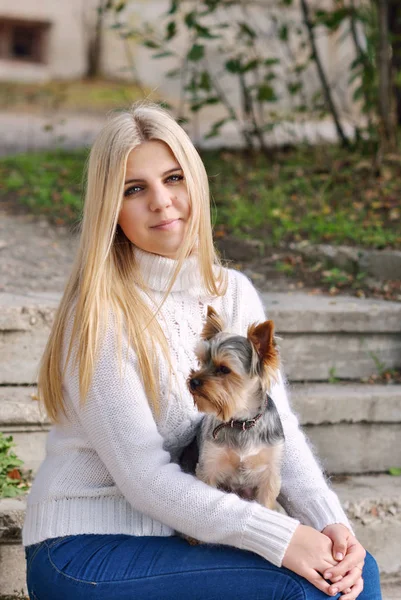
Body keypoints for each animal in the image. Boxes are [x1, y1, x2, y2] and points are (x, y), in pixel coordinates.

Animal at [188, 308, 284, 508]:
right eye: (202, 361)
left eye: (224, 369)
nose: (193, 381)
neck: (241, 421)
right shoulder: (210, 464)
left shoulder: (270, 473)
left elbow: (266, 501)